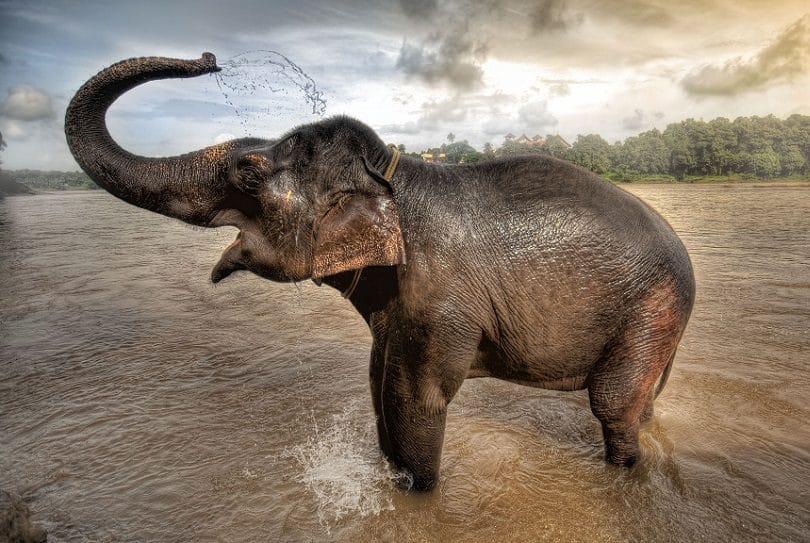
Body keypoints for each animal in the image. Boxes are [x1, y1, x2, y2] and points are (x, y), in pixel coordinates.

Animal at [65, 53, 695, 491]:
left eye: (249, 172)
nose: (210, 58)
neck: (393, 174)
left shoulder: (440, 299)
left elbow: (414, 401)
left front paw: (417, 496)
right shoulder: (396, 306)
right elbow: (377, 386)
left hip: (653, 307)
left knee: (612, 404)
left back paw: (623, 474)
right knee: (641, 399)